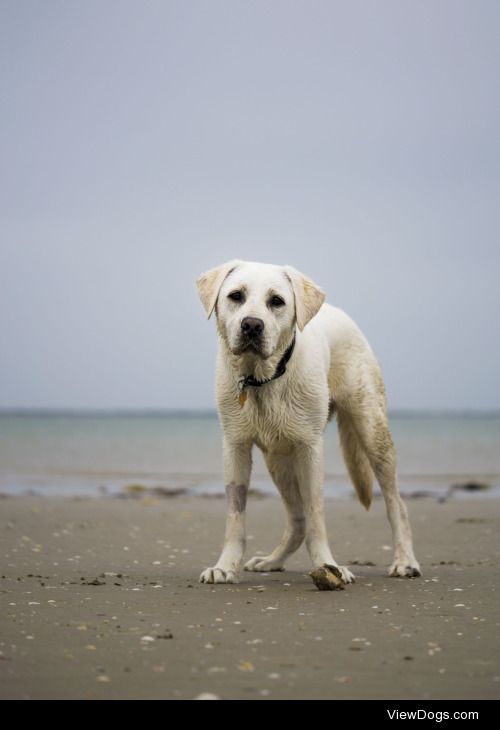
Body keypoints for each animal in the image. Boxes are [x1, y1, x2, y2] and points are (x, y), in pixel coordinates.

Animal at [195, 258, 422, 584]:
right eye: (236, 296)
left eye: (276, 301)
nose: (251, 325)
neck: (263, 379)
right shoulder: (235, 445)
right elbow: (235, 515)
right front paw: (225, 566)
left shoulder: (310, 448)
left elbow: (316, 514)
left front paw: (329, 565)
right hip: (278, 458)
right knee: (297, 518)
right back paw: (272, 560)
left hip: (373, 430)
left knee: (396, 502)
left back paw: (405, 561)